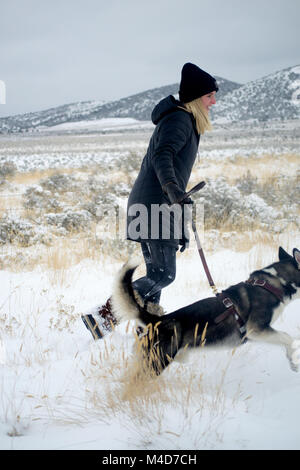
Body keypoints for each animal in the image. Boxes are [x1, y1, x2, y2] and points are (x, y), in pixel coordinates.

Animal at [112, 248, 300, 376]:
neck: (272, 284)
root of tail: (156, 320)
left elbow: (285, 341)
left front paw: (291, 361)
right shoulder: (256, 329)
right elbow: (288, 338)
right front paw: (295, 359)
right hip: (156, 363)